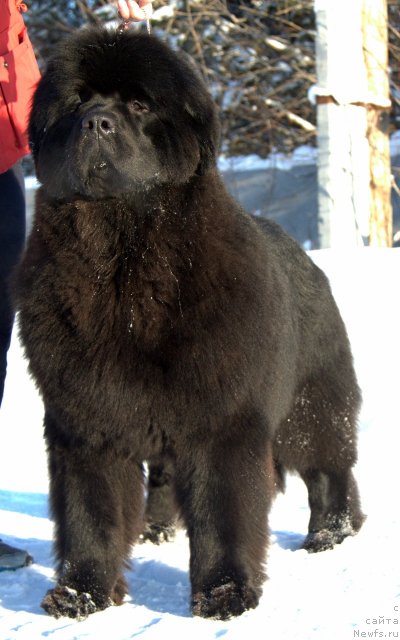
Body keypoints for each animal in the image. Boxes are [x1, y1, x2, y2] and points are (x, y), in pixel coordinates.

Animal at [15, 26, 364, 620]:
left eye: (138, 105)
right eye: (78, 102)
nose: (96, 123)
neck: (122, 266)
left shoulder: (221, 421)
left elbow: (221, 514)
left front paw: (225, 592)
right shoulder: (85, 422)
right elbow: (89, 513)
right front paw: (82, 592)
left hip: (307, 406)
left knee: (330, 468)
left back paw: (332, 533)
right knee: (163, 477)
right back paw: (157, 528)